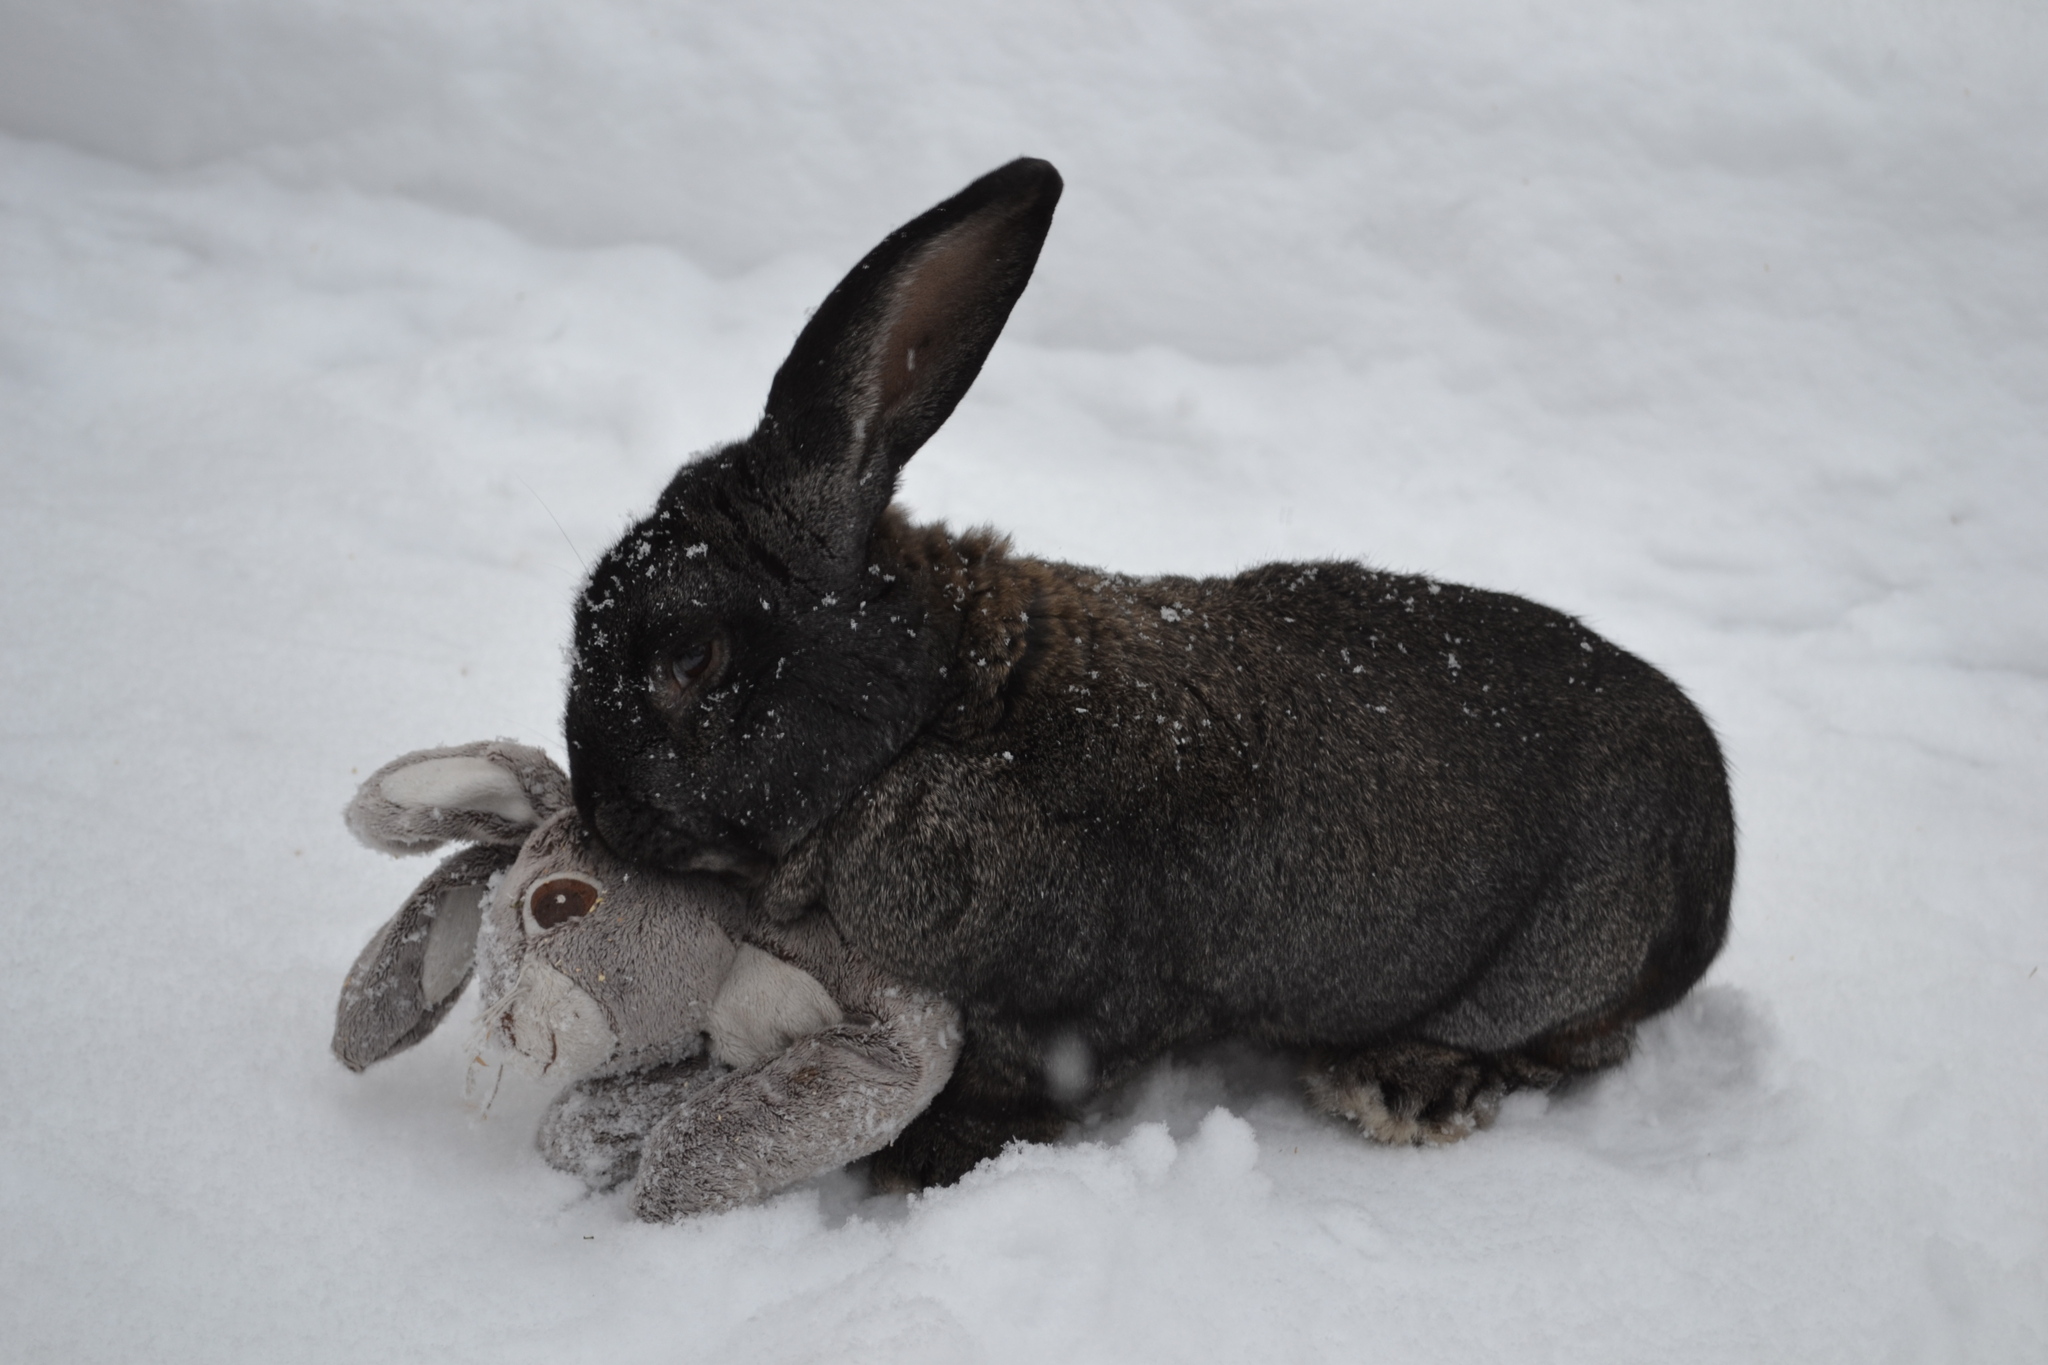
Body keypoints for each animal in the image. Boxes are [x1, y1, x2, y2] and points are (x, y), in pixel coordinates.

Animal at [557, 157, 1728, 1186]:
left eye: (691, 658)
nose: (599, 805)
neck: (927, 713)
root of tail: (1716, 856)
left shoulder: (1067, 1004)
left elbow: (1012, 1082)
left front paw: (920, 1158)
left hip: (1552, 965)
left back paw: (1402, 1085)